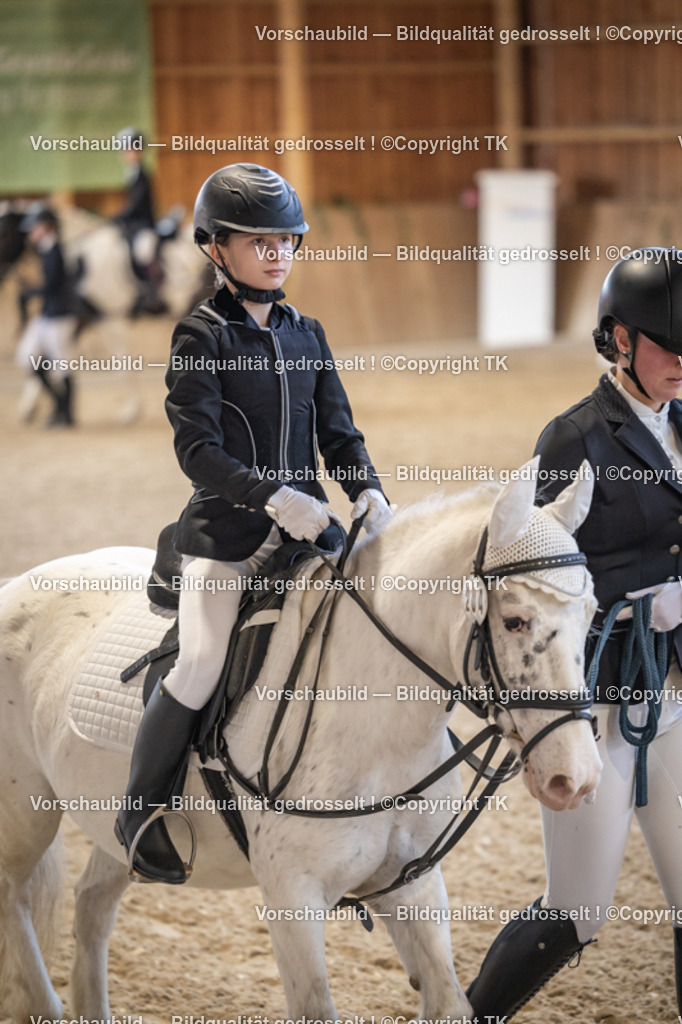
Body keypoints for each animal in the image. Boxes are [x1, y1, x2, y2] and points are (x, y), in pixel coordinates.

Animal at [0, 462, 602, 1022]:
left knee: (91, 905)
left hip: (107, 821)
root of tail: (21, 581)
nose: (575, 779)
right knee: (12, 898)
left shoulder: (412, 884)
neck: (382, 738)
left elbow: (450, 1002)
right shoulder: (292, 899)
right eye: (516, 620)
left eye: (593, 616)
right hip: (25, 812)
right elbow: (315, 1005)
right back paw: (44, 1003)